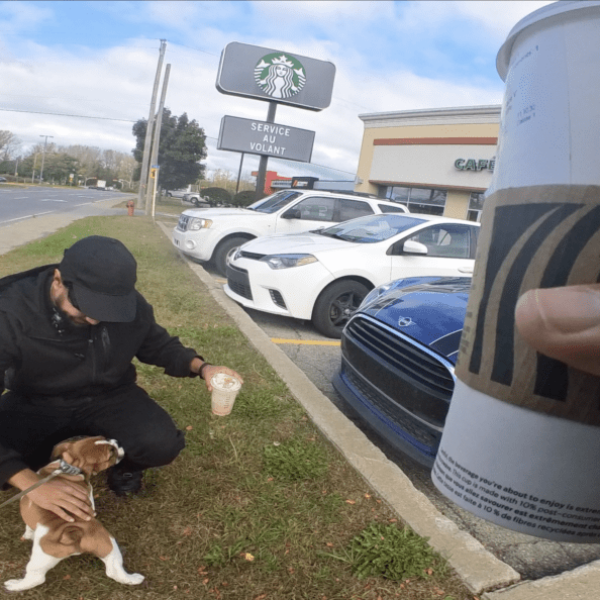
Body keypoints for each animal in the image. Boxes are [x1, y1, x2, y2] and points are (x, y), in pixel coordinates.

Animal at [4, 436, 144, 592]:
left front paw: (28, 535)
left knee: (36, 577)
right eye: (111, 453)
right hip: (106, 542)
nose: (117, 442)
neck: (71, 466)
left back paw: (14, 585)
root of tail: (73, 532)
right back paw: (133, 579)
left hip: (42, 557)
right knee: (113, 569)